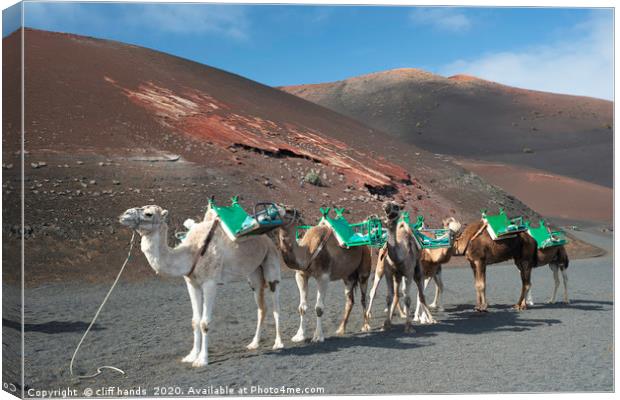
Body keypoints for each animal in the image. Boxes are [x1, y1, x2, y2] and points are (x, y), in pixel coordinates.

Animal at [118, 205, 284, 368]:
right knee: (262, 307)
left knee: (276, 305)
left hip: (272, 262)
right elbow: (195, 321)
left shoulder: (210, 283)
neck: (192, 252)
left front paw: (202, 360)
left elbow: (205, 322)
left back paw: (278, 343)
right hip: (254, 274)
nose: (124, 215)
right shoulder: (192, 284)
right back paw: (253, 343)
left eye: (148, 214)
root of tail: (268, 240)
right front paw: (191, 356)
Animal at [274, 208, 370, 342]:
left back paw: (366, 326)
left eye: (287, 211)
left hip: (364, 270)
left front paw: (318, 336)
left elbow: (319, 308)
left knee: (363, 297)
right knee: (349, 299)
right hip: (348, 276)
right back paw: (341, 329)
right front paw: (299, 336)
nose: (271, 215)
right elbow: (301, 307)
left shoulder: (323, 277)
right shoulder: (301, 275)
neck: (308, 251)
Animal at [366, 202, 434, 332]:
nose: (385, 205)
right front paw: (386, 324)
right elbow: (389, 297)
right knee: (379, 292)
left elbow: (407, 298)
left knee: (421, 295)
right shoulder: (388, 272)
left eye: (396, 206)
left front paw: (408, 326)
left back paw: (431, 319)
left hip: (417, 271)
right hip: (383, 271)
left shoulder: (408, 273)